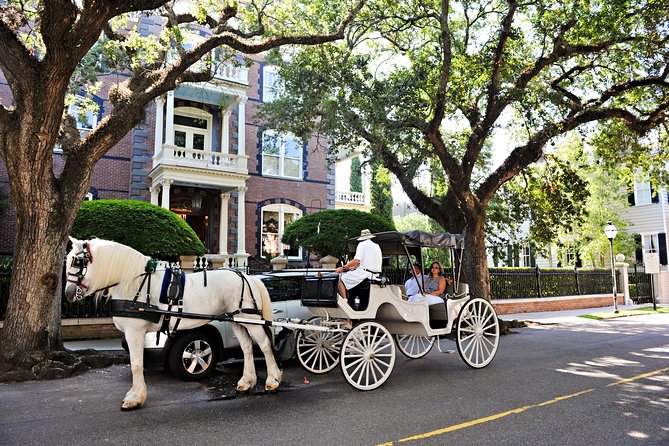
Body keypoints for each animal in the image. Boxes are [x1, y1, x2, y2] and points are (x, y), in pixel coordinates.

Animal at [64, 239, 280, 410]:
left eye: (77, 261)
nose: (68, 293)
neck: (133, 282)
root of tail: (247, 276)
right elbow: (136, 363)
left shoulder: (135, 331)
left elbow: (136, 364)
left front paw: (135, 398)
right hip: (237, 320)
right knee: (247, 347)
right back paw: (246, 382)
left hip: (251, 319)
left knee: (264, 345)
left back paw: (273, 380)